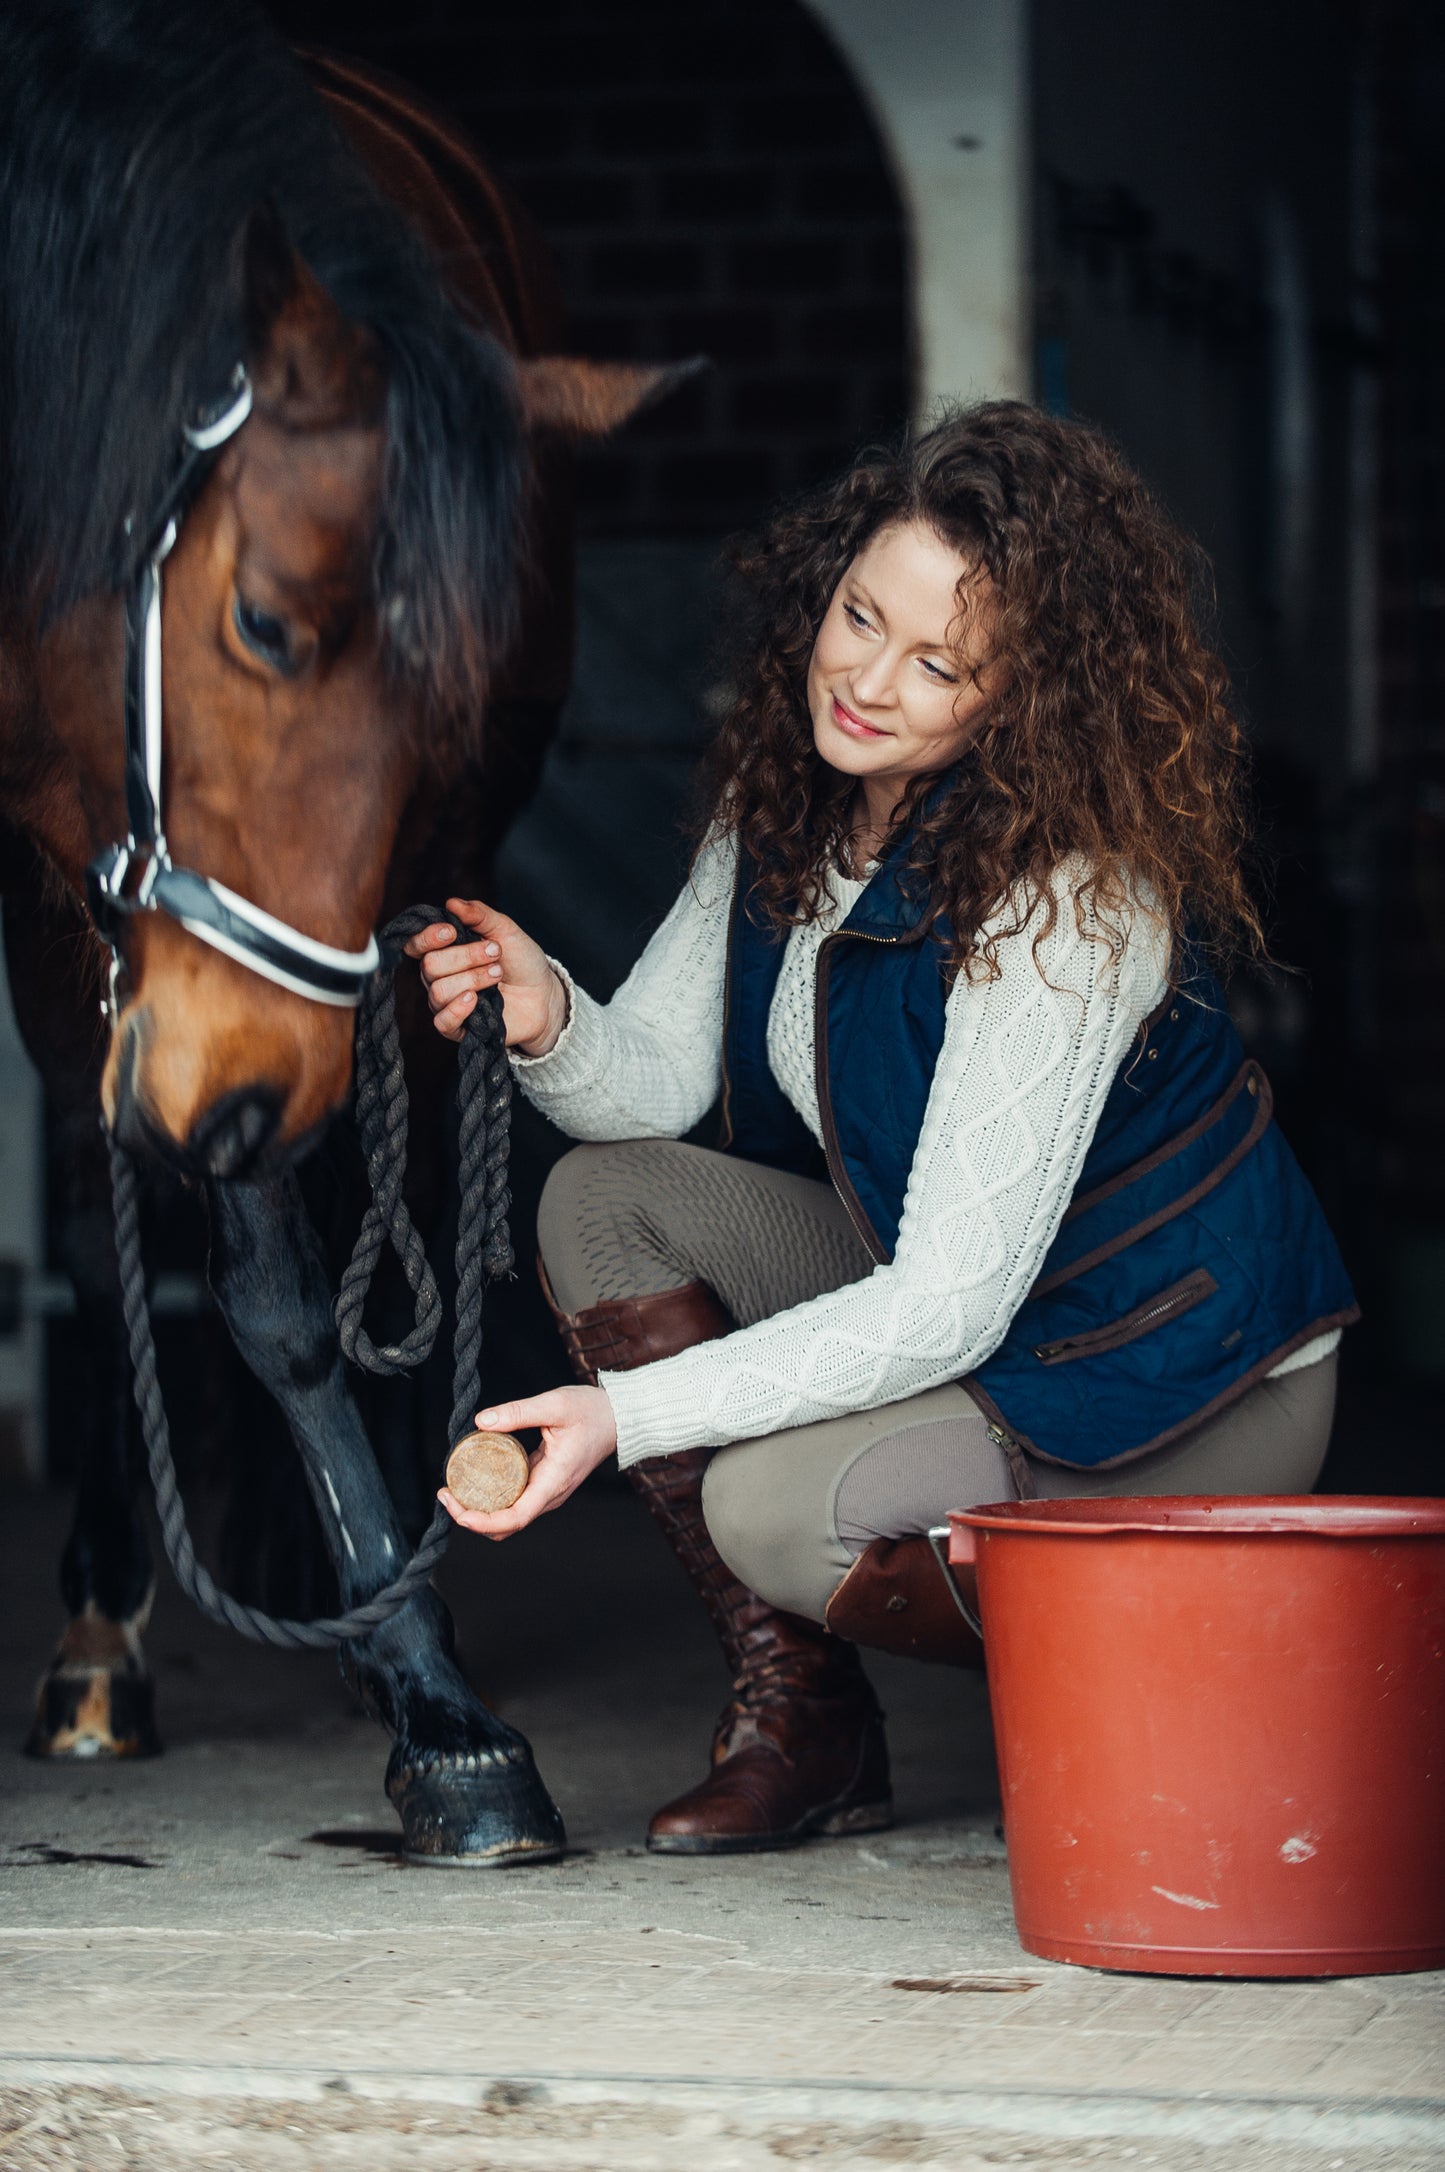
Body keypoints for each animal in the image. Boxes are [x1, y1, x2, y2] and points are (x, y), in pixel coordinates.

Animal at [0, 4, 686, 1867]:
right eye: (259, 621)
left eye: (451, 700)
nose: (245, 1102)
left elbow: (314, 1284)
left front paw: (424, 1680)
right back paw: (103, 1631)